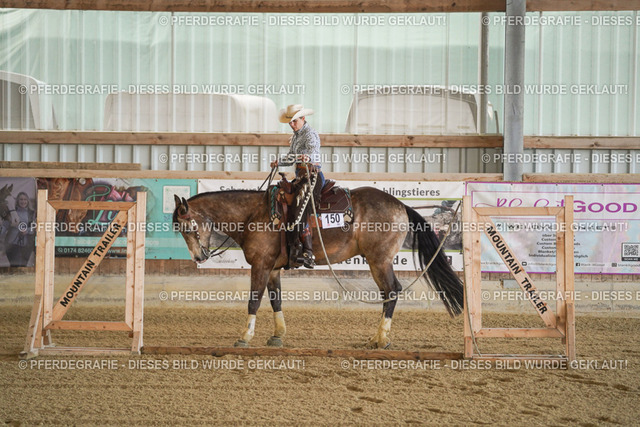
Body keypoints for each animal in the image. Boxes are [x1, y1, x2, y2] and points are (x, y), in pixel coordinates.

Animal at [172, 185, 464, 349]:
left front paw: (244, 336)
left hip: (379, 262)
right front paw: (277, 335)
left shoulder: (260, 265)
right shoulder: (273, 269)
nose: (198, 257)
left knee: (391, 291)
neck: (254, 215)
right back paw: (377, 338)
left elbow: (254, 300)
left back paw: (380, 339)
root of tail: (401, 205)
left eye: (187, 227)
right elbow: (276, 300)